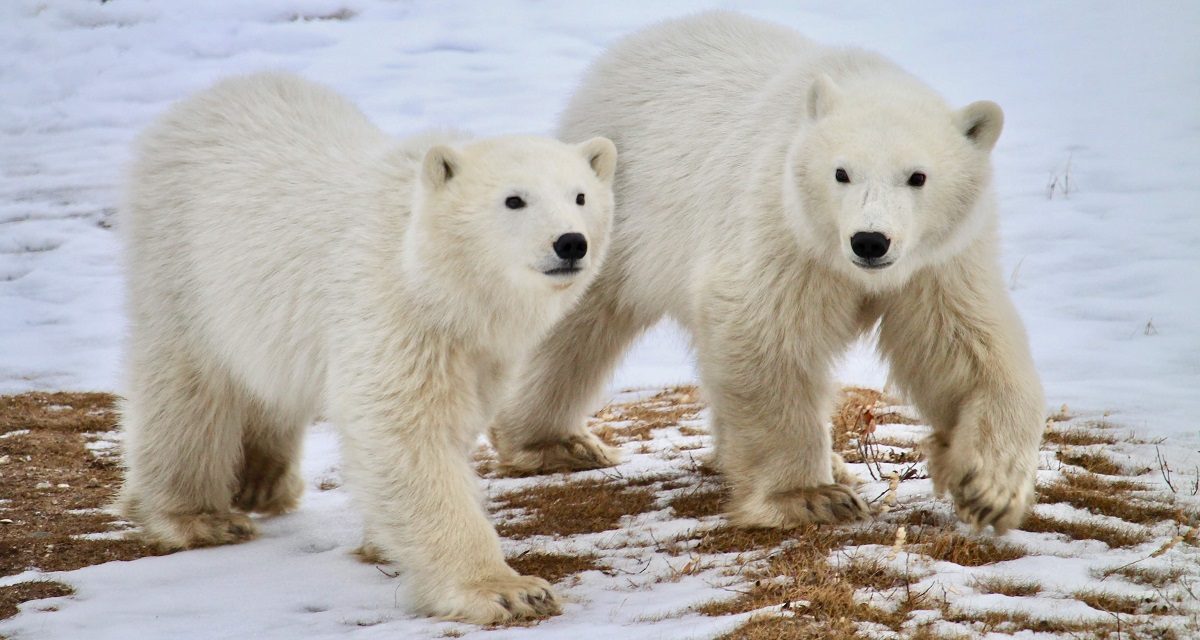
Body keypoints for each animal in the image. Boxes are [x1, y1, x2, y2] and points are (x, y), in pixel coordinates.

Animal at [116, 72, 617, 624]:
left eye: (580, 196)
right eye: (514, 200)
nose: (570, 243)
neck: (438, 281)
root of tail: (208, 97)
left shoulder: (477, 349)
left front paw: (383, 541)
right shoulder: (392, 306)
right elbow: (405, 431)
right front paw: (508, 590)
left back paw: (261, 479)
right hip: (181, 261)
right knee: (187, 385)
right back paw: (199, 516)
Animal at [490, 12, 1045, 534]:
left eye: (918, 176)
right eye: (841, 172)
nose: (869, 240)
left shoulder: (938, 258)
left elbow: (962, 347)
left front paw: (989, 489)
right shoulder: (782, 226)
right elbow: (763, 334)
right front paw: (810, 497)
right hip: (609, 204)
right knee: (575, 316)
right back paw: (554, 441)